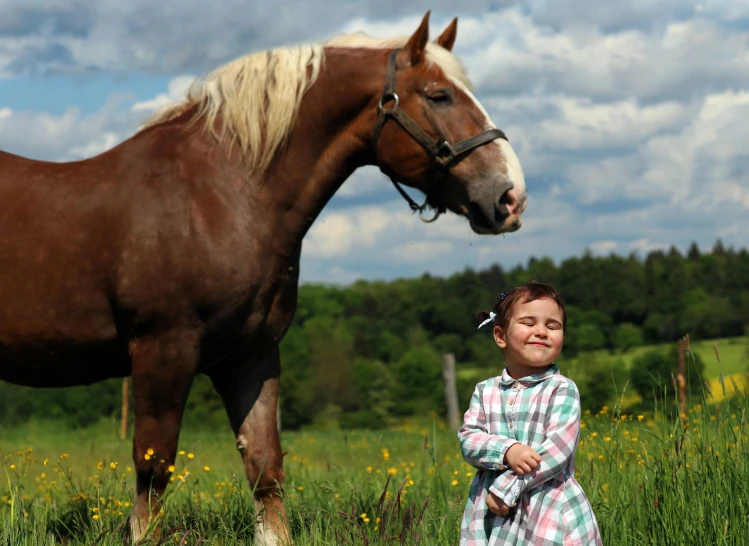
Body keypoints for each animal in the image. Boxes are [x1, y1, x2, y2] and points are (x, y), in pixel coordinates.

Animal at [0, 10, 524, 540]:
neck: (220, 195)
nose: (510, 196)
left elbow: (264, 463)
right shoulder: (162, 350)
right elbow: (153, 466)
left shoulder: (252, 356)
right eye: (439, 95)